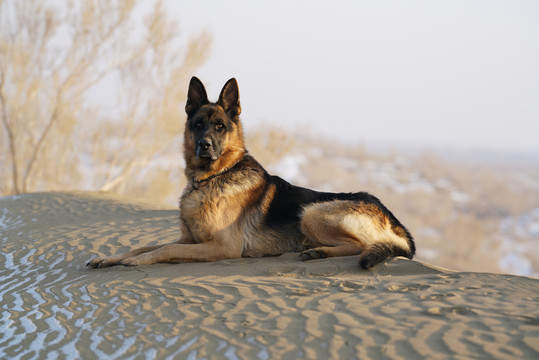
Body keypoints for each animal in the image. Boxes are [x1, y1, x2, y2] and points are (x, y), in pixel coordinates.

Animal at [87, 76, 418, 268]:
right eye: (198, 125)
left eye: (220, 126)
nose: (205, 145)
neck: (213, 178)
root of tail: (393, 219)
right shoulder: (190, 240)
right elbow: (145, 244)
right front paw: (110, 258)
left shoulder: (223, 247)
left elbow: (164, 249)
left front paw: (141, 261)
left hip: (311, 211)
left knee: (361, 246)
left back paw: (320, 253)